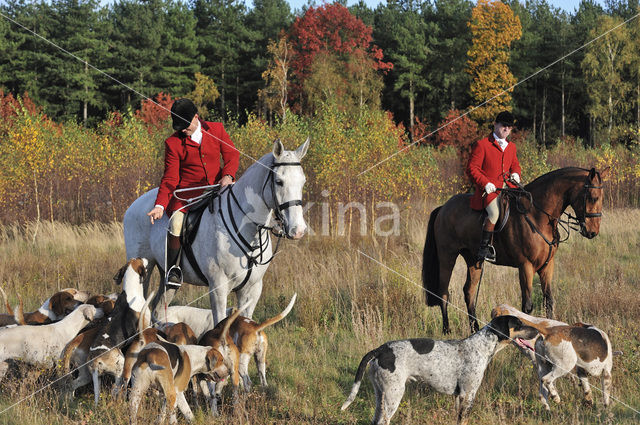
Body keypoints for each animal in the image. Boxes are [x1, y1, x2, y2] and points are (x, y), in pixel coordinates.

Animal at [123, 137, 310, 322]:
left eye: (303, 182)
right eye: (279, 182)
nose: (298, 230)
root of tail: (135, 204)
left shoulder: (253, 290)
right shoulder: (219, 288)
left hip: (167, 277)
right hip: (144, 268)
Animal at [422, 166, 608, 334]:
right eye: (592, 197)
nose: (592, 232)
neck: (537, 214)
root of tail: (443, 207)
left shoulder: (547, 265)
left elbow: (548, 301)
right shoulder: (526, 266)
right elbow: (527, 306)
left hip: (474, 259)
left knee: (469, 291)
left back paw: (474, 329)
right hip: (447, 256)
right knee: (443, 292)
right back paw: (447, 330)